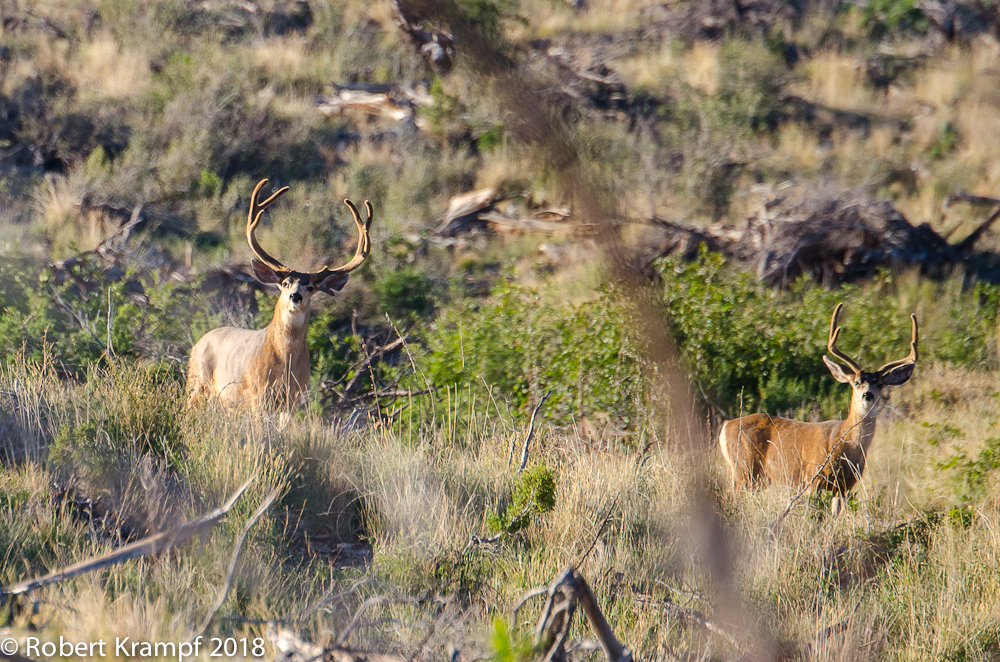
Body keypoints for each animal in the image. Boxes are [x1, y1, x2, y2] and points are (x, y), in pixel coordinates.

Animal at [187, 179, 372, 416]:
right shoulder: (258, 394)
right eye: (285, 283)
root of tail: (197, 343)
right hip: (196, 385)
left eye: (310, 287)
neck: (285, 364)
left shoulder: (292, 399)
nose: (295, 296)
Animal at [718, 303, 918, 515]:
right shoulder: (813, 477)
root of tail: (725, 426)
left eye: (880, 384)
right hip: (744, 469)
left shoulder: (844, 486)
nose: (868, 395)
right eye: (856, 382)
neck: (846, 443)